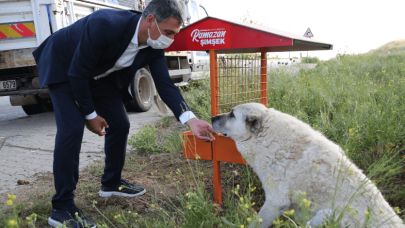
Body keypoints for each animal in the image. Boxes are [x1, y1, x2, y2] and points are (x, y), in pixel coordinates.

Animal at [210, 104, 402, 228]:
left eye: (232, 115)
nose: (211, 118)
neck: (266, 137)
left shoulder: (275, 201)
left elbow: (256, 223)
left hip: (322, 217)